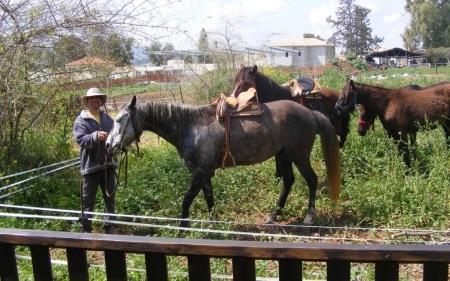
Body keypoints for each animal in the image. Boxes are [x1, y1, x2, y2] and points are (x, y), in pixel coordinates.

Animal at [106, 95, 342, 225]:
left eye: (119, 120)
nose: (108, 145)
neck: (190, 126)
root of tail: (310, 113)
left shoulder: (200, 173)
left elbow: (186, 200)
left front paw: (183, 229)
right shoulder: (204, 174)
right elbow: (209, 199)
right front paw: (214, 225)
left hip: (299, 155)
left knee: (311, 180)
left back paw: (309, 217)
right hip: (283, 155)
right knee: (288, 181)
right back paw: (274, 214)